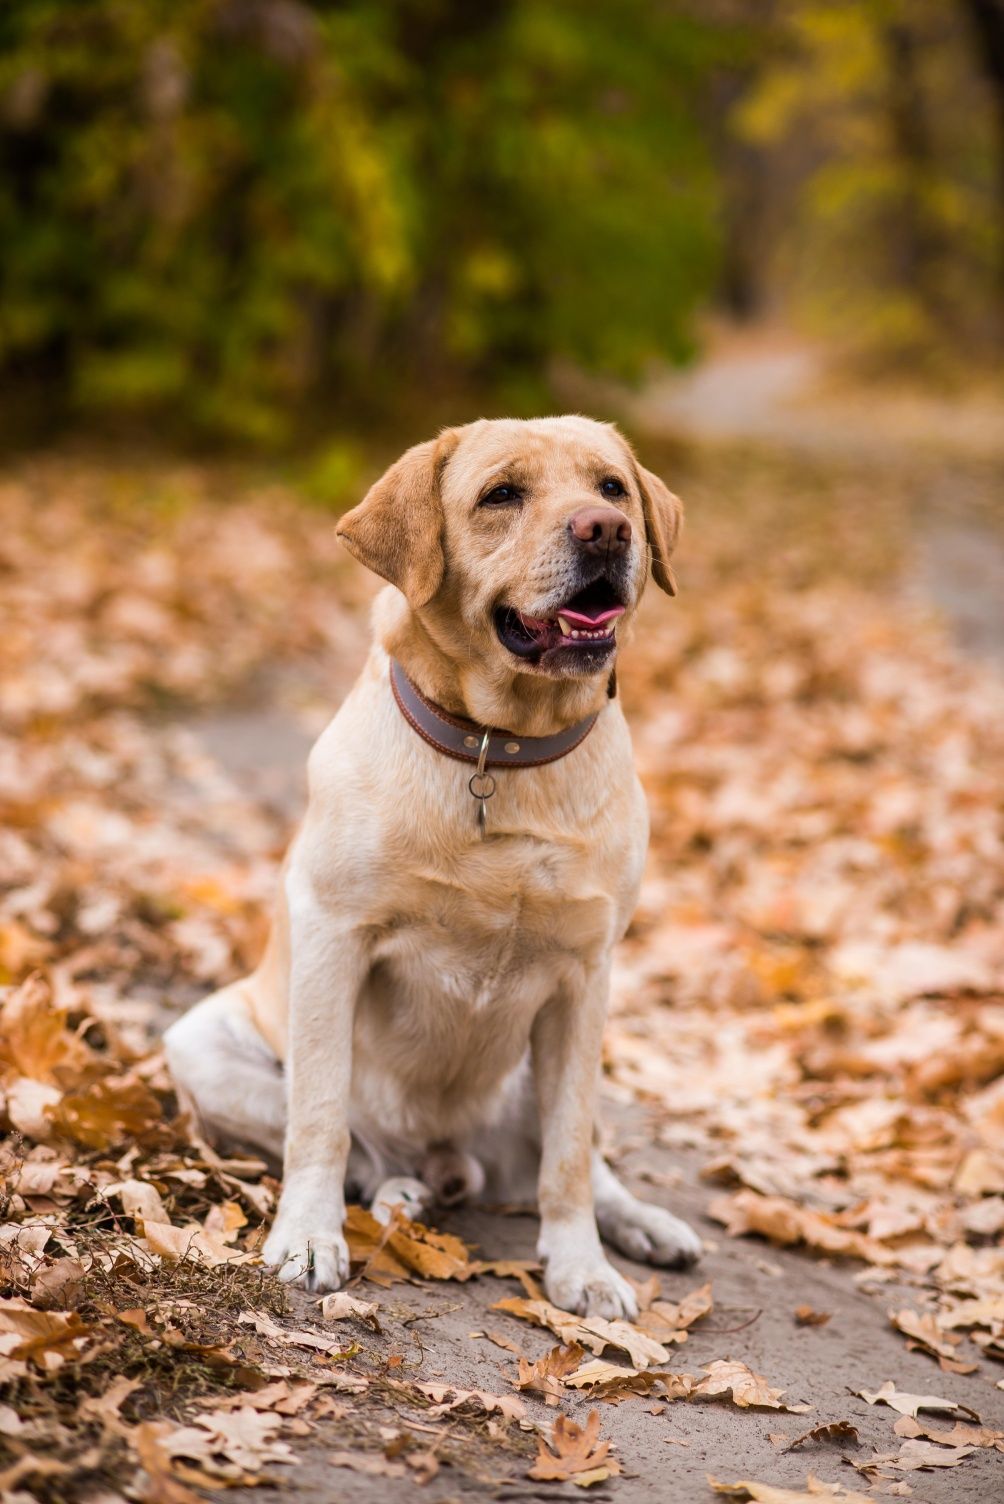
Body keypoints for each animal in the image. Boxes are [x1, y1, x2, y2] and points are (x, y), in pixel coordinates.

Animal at [163, 415, 697, 1317]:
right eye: (501, 494)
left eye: (612, 488)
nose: (606, 530)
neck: (500, 748)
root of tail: (452, 1158)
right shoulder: (334, 934)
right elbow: (320, 1117)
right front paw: (308, 1239)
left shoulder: (587, 976)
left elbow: (567, 1161)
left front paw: (582, 1269)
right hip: (197, 1040)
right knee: (361, 1147)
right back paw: (399, 1191)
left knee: (582, 1158)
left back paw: (643, 1225)